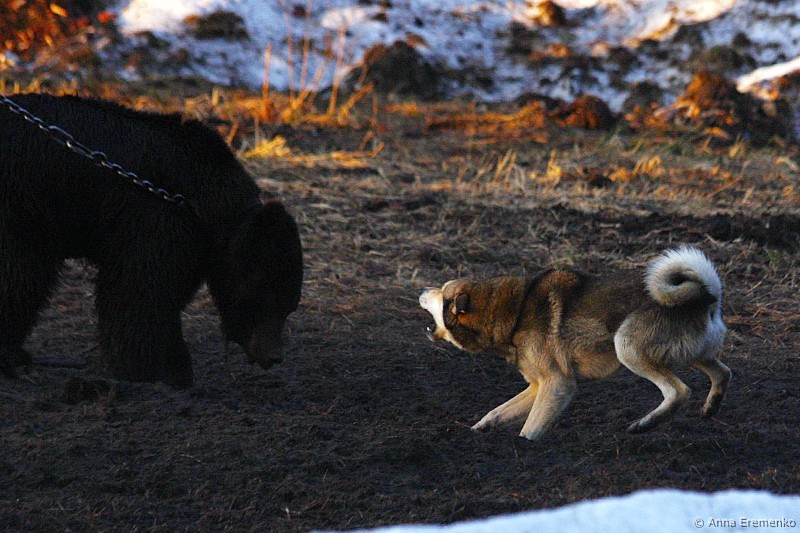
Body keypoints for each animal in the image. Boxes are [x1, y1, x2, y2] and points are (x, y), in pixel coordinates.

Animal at [0, 93, 303, 389]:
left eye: (289, 307)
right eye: (265, 298)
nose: (274, 356)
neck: (201, 205)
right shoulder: (156, 220)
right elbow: (140, 294)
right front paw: (160, 371)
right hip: (26, 206)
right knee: (23, 276)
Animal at [419, 246, 730, 440]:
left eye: (441, 292)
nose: (422, 289)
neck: (514, 311)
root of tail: (707, 296)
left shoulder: (558, 384)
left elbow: (530, 429)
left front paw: (524, 447)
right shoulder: (538, 386)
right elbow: (497, 412)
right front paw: (475, 432)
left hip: (627, 347)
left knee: (679, 391)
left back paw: (644, 425)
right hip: (691, 354)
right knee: (723, 372)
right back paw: (710, 409)